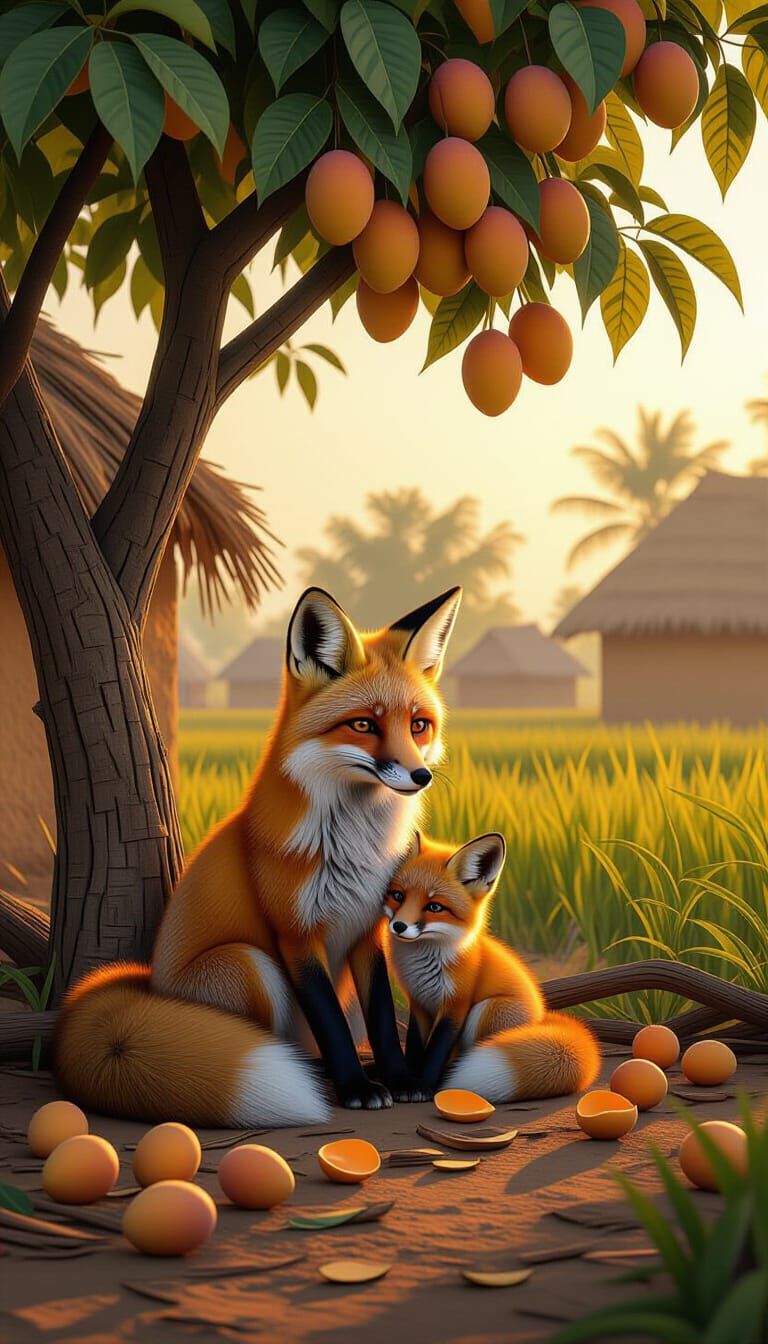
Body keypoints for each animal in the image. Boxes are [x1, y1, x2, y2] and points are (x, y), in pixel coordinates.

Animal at [55, 585, 462, 1129]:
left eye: (419, 725)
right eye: (363, 725)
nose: (421, 776)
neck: (355, 849)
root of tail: (149, 988)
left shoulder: (368, 929)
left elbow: (378, 1016)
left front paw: (397, 1078)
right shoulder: (295, 934)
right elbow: (330, 1021)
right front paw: (356, 1087)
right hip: (250, 964)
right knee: (269, 1042)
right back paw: (313, 1074)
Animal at [383, 831, 600, 1100]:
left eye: (434, 907)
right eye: (398, 896)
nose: (399, 926)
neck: (422, 966)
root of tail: (541, 1018)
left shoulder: (457, 1005)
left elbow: (435, 1053)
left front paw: (424, 1085)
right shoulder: (420, 1003)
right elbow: (414, 1048)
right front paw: (409, 1082)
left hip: (487, 1009)